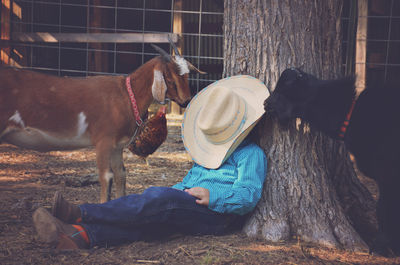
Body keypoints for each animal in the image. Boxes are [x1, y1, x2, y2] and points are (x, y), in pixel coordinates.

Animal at [0, 43, 205, 201]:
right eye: (169, 78)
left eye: (187, 75)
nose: (186, 101)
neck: (125, 94)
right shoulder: (103, 141)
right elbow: (107, 177)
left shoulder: (117, 146)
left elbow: (121, 175)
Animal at [264, 67, 398, 255]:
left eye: (285, 89)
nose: (265, 103)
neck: (351, 115)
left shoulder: (388, 176)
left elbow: (384, 209)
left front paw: (381, 247)